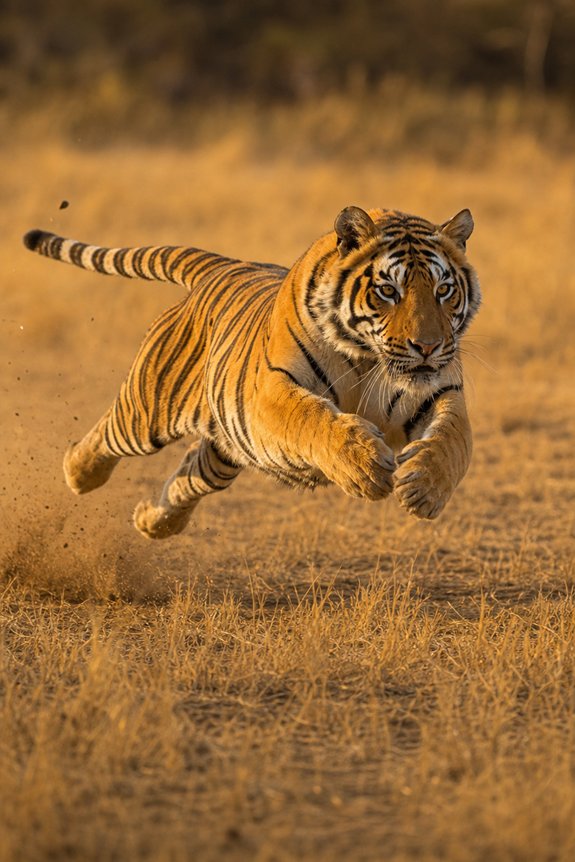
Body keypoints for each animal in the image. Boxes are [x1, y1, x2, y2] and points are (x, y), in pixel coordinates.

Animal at [23, 206, 480, 539]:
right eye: (388, 290)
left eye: (443, 290)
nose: (427, 346)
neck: (368, 357)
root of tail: (219, 266)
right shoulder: (272, 390)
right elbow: (314, 420)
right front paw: (363, 465)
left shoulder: (441, 391)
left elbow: (453, 440)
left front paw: (425, 488)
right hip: (149, 410)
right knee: (108, 434)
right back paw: (78, 473)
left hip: (224, 450)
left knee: (188, 476)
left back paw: (152, 523)